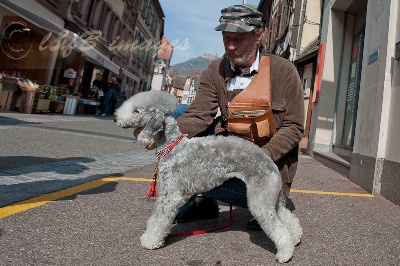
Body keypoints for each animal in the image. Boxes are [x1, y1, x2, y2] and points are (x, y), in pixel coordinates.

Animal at [114, 90, 302, 262]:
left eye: (137, 110)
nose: (115, 118)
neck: (173, 147)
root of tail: (269, 161)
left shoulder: (169, 195)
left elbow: (158, 220)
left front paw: (150, 241)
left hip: (260, 199)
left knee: (279, 229)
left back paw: (285, 254)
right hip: (273, 197)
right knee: (288, 218)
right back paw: (296, 238)